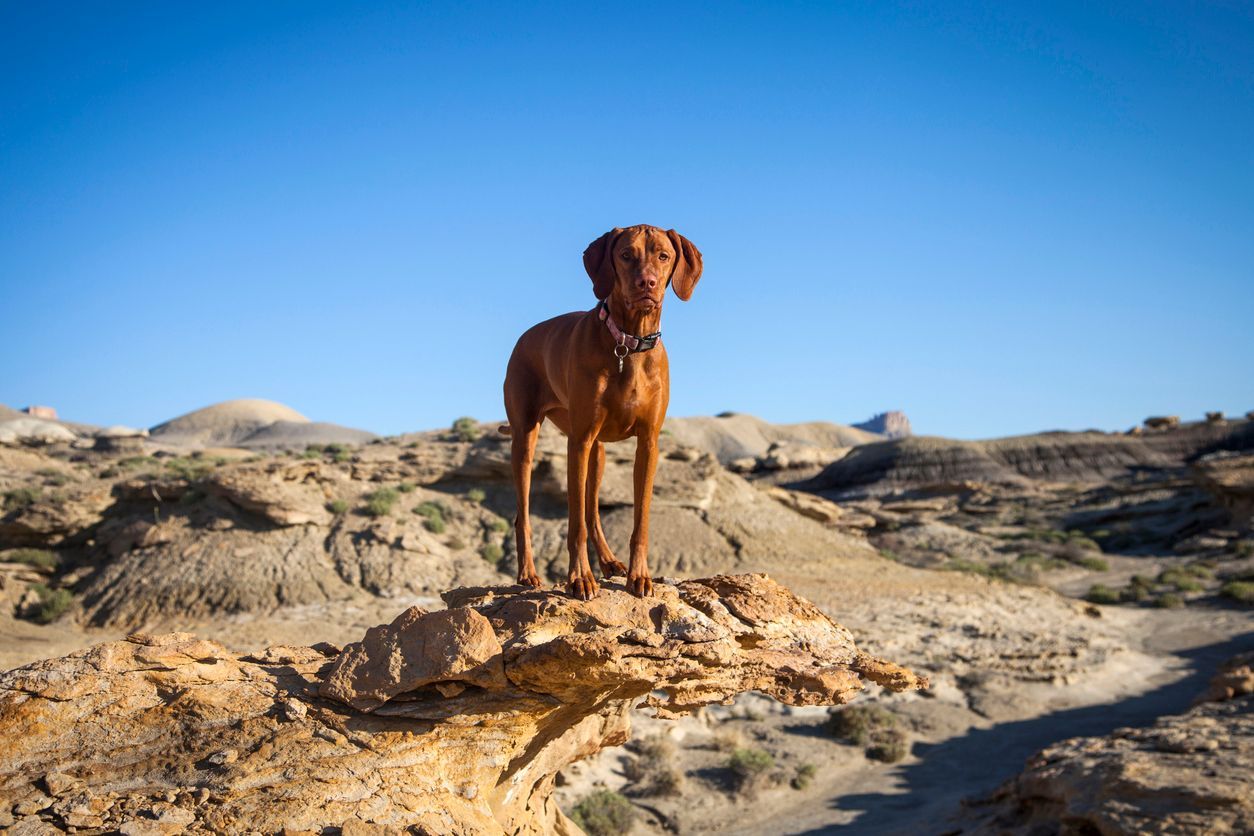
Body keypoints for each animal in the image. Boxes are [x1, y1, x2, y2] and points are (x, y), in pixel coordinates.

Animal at [499, 225, 707, 599]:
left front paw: (639, 576)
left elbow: (639, 519)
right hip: (526, 439)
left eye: (663, 255)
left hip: (597, 452)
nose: (646, 283)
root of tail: (524, 337)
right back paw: (528, 573)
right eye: (626, 254)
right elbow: (574, 524)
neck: (629, 343)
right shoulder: (578, 442)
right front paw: (580, 578)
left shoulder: (648, 444)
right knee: (525, 514)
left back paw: (610, 562)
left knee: (593, 510)